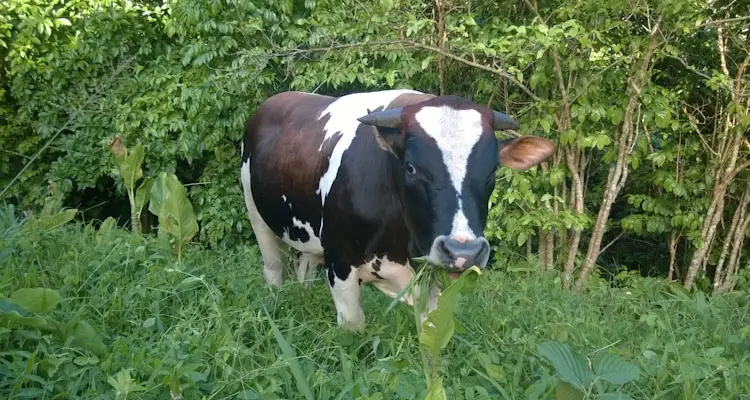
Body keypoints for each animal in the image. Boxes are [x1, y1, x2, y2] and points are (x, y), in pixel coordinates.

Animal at [244, 89, 556, 330]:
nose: (463, 252)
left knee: (305, 267)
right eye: (411, 168)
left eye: (493, 171)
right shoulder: (340, 262)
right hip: (256, 213)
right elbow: (353, 326)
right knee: (273, 267)